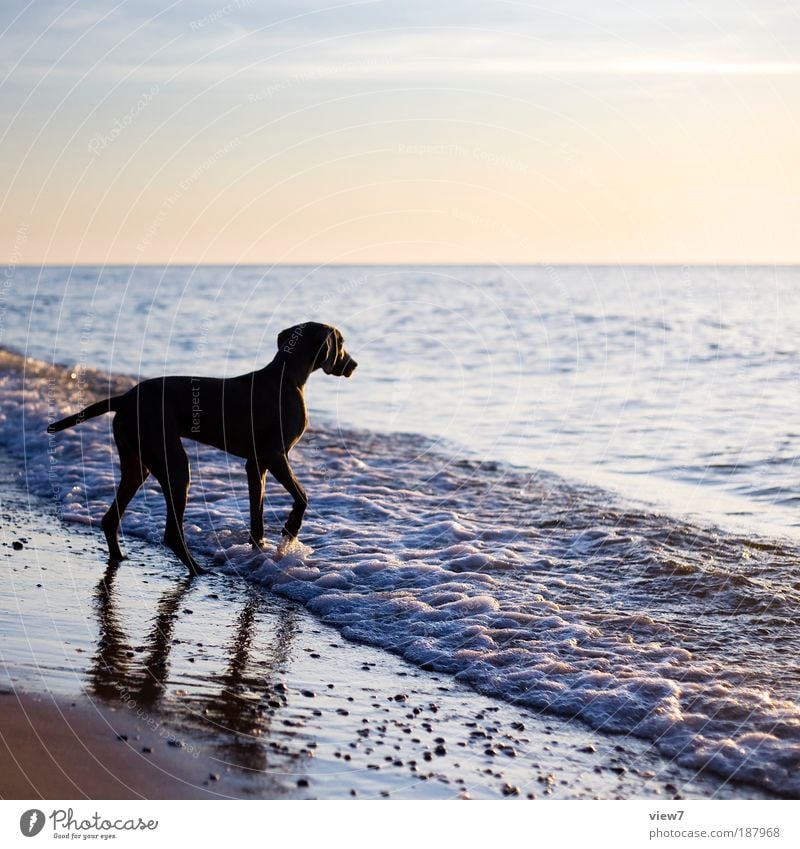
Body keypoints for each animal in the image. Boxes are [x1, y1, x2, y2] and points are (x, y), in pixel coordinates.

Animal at [50, 322, 360, 572]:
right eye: (342, 343)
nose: (354, 365)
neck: (287, 378)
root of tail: (126, 398)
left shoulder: (256, 464)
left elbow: (257, 516)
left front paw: (258, 550)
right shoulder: (274, 455)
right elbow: (303, 496)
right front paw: (290, 530)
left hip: (138, 463)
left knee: (111, 517)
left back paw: (119, 556)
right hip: (175, 465)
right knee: (171, 533)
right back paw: (197, 569)